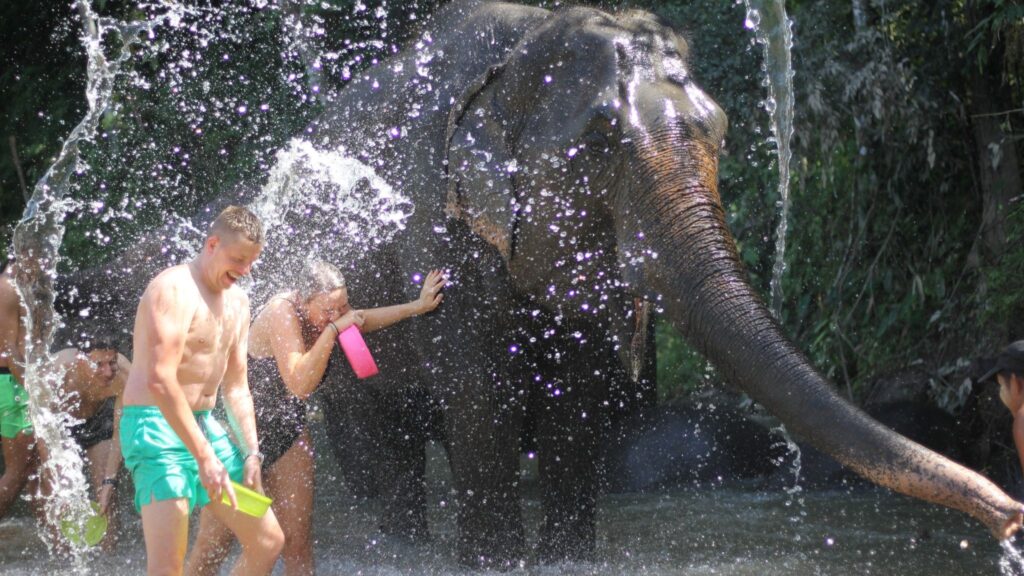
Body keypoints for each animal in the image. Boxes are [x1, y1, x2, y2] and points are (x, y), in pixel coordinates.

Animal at [48, 0, 1023, 569]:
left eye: (719, 127)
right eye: (599, 141)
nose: (1010, 520)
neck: (532, 41)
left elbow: (581, 403)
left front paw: (567, 559)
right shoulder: (441, 227)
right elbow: (482, 400)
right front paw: (495, 564)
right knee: (378, 449)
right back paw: (406, 546)